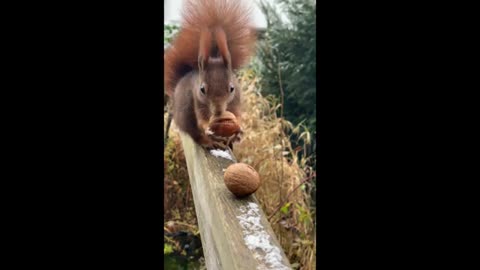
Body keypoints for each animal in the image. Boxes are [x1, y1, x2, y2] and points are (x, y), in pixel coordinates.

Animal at [164, 0, 255, 150]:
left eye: (231, 88)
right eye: (202, 89)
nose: (218, 112)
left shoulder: (235, 100)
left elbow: (237, 114)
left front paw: (240, 128)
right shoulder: (197, 100)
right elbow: (202, 120)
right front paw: (208, 126)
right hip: (186, 114)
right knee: (196, 134)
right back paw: (209, 141)